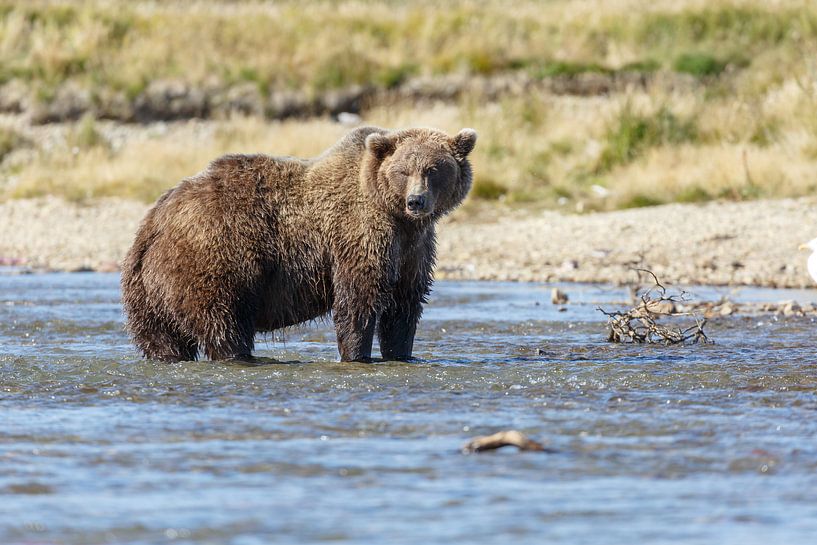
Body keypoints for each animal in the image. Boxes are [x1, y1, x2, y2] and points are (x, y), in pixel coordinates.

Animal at [121, 124, 478, 362]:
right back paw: (239, 355)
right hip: (211, 254)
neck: (396, 218)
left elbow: (404, 306)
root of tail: (153, 220)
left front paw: (401, 353)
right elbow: (358, 299)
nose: (416, 201)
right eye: (403, 170)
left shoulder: (412, 250)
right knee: (222, 321)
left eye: (434, 169)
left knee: (161, 338)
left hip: (147, 291)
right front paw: (357, 354)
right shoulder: (358, 234)